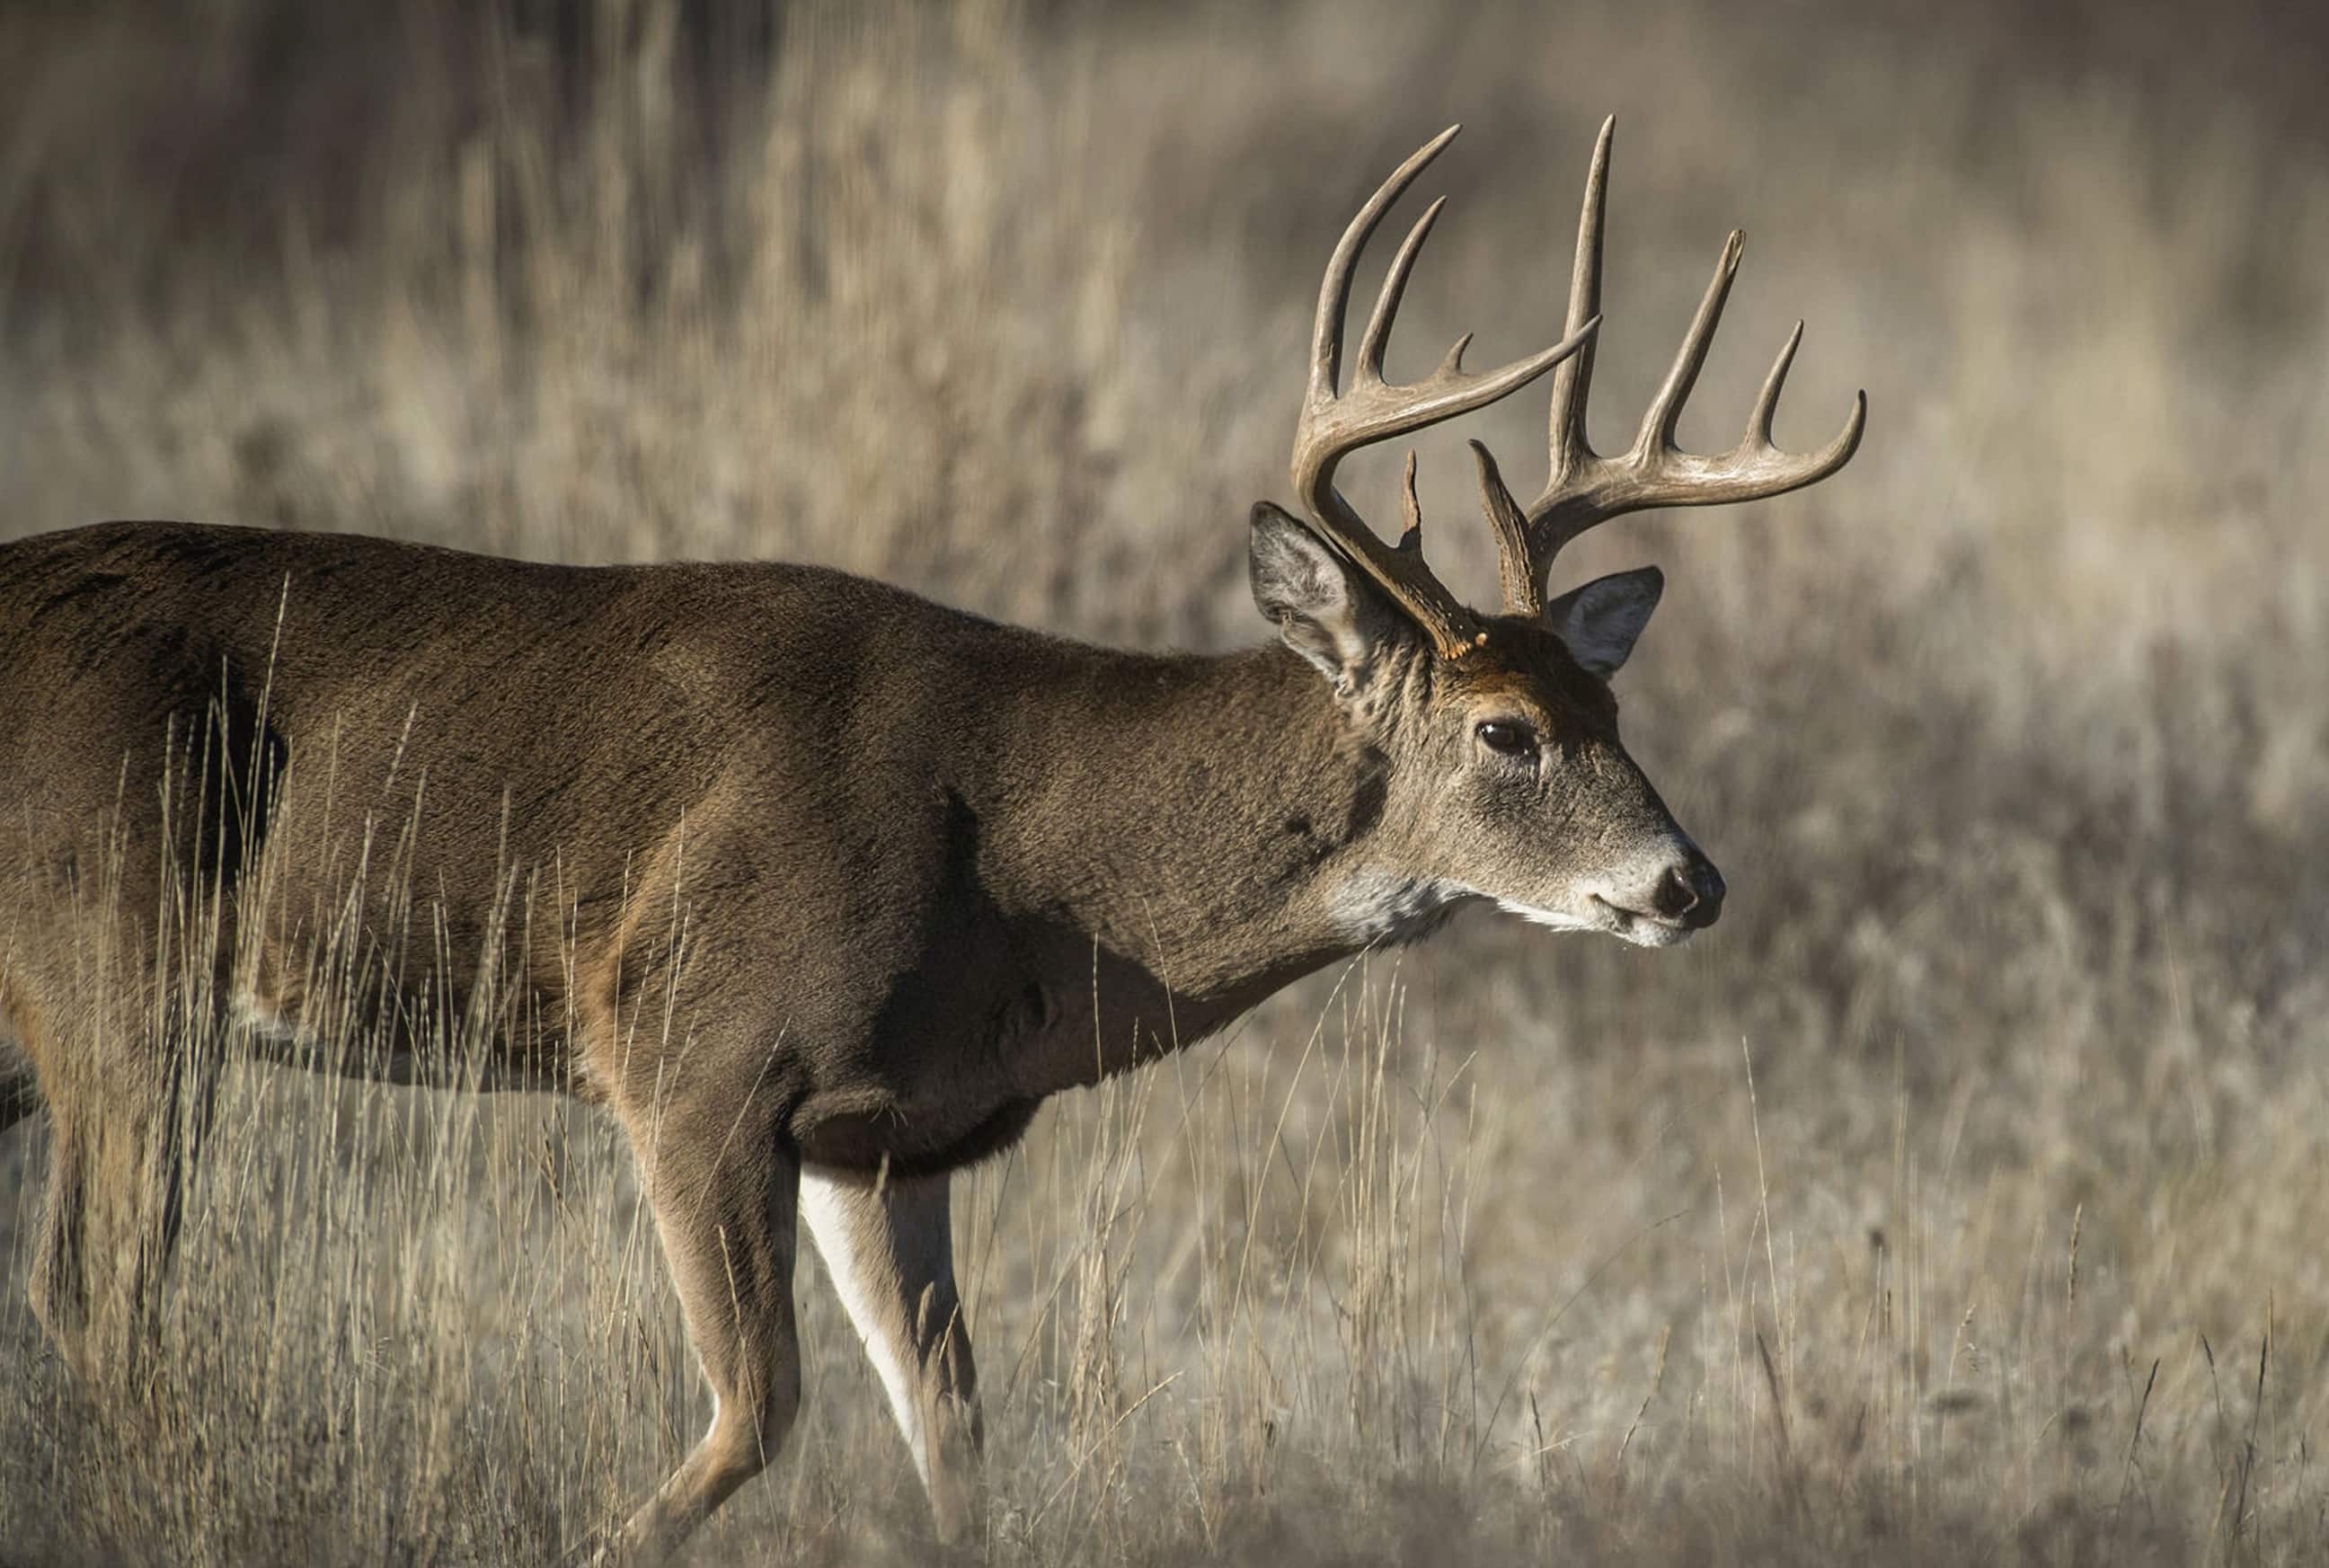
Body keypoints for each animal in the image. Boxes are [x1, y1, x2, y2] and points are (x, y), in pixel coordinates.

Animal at [0, 119, 1854, 1556]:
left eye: (1614, 709)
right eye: (1503, 732)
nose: (1687, 882)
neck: (1017, 867)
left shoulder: (881, 1135)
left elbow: (949, 1439)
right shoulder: (689, 1047)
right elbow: (756, 1412)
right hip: (122, 970)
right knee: (96, 1299)